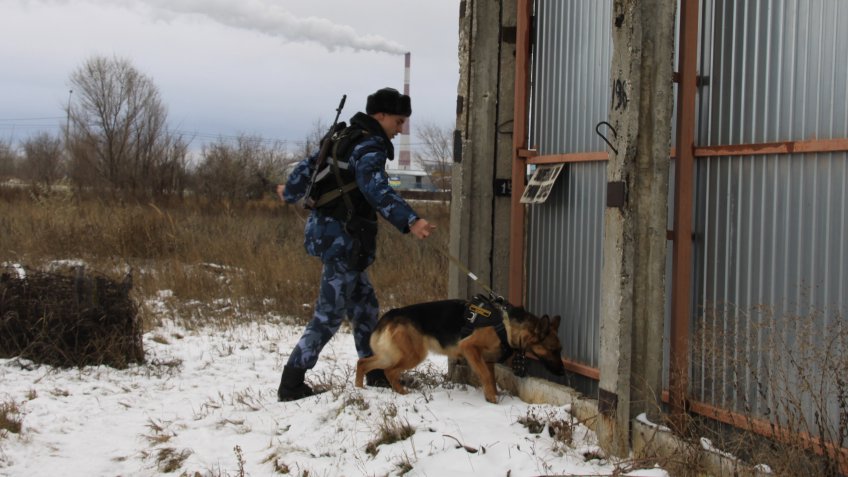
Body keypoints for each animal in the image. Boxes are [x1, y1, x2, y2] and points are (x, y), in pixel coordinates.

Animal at [354, 298, 568, 402]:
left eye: (560, 350)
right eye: (553, 350)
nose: (562, 372)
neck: (507, 326)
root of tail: (391, 314)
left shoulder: (488, 361)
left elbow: (491, 379)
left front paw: (492, 397)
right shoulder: (469, 348)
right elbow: (485, 376)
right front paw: (492, 399)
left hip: (390, 355)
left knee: (362, 362)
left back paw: (359, 389)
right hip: (412, 355)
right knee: (389, 371)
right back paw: (403, 393)